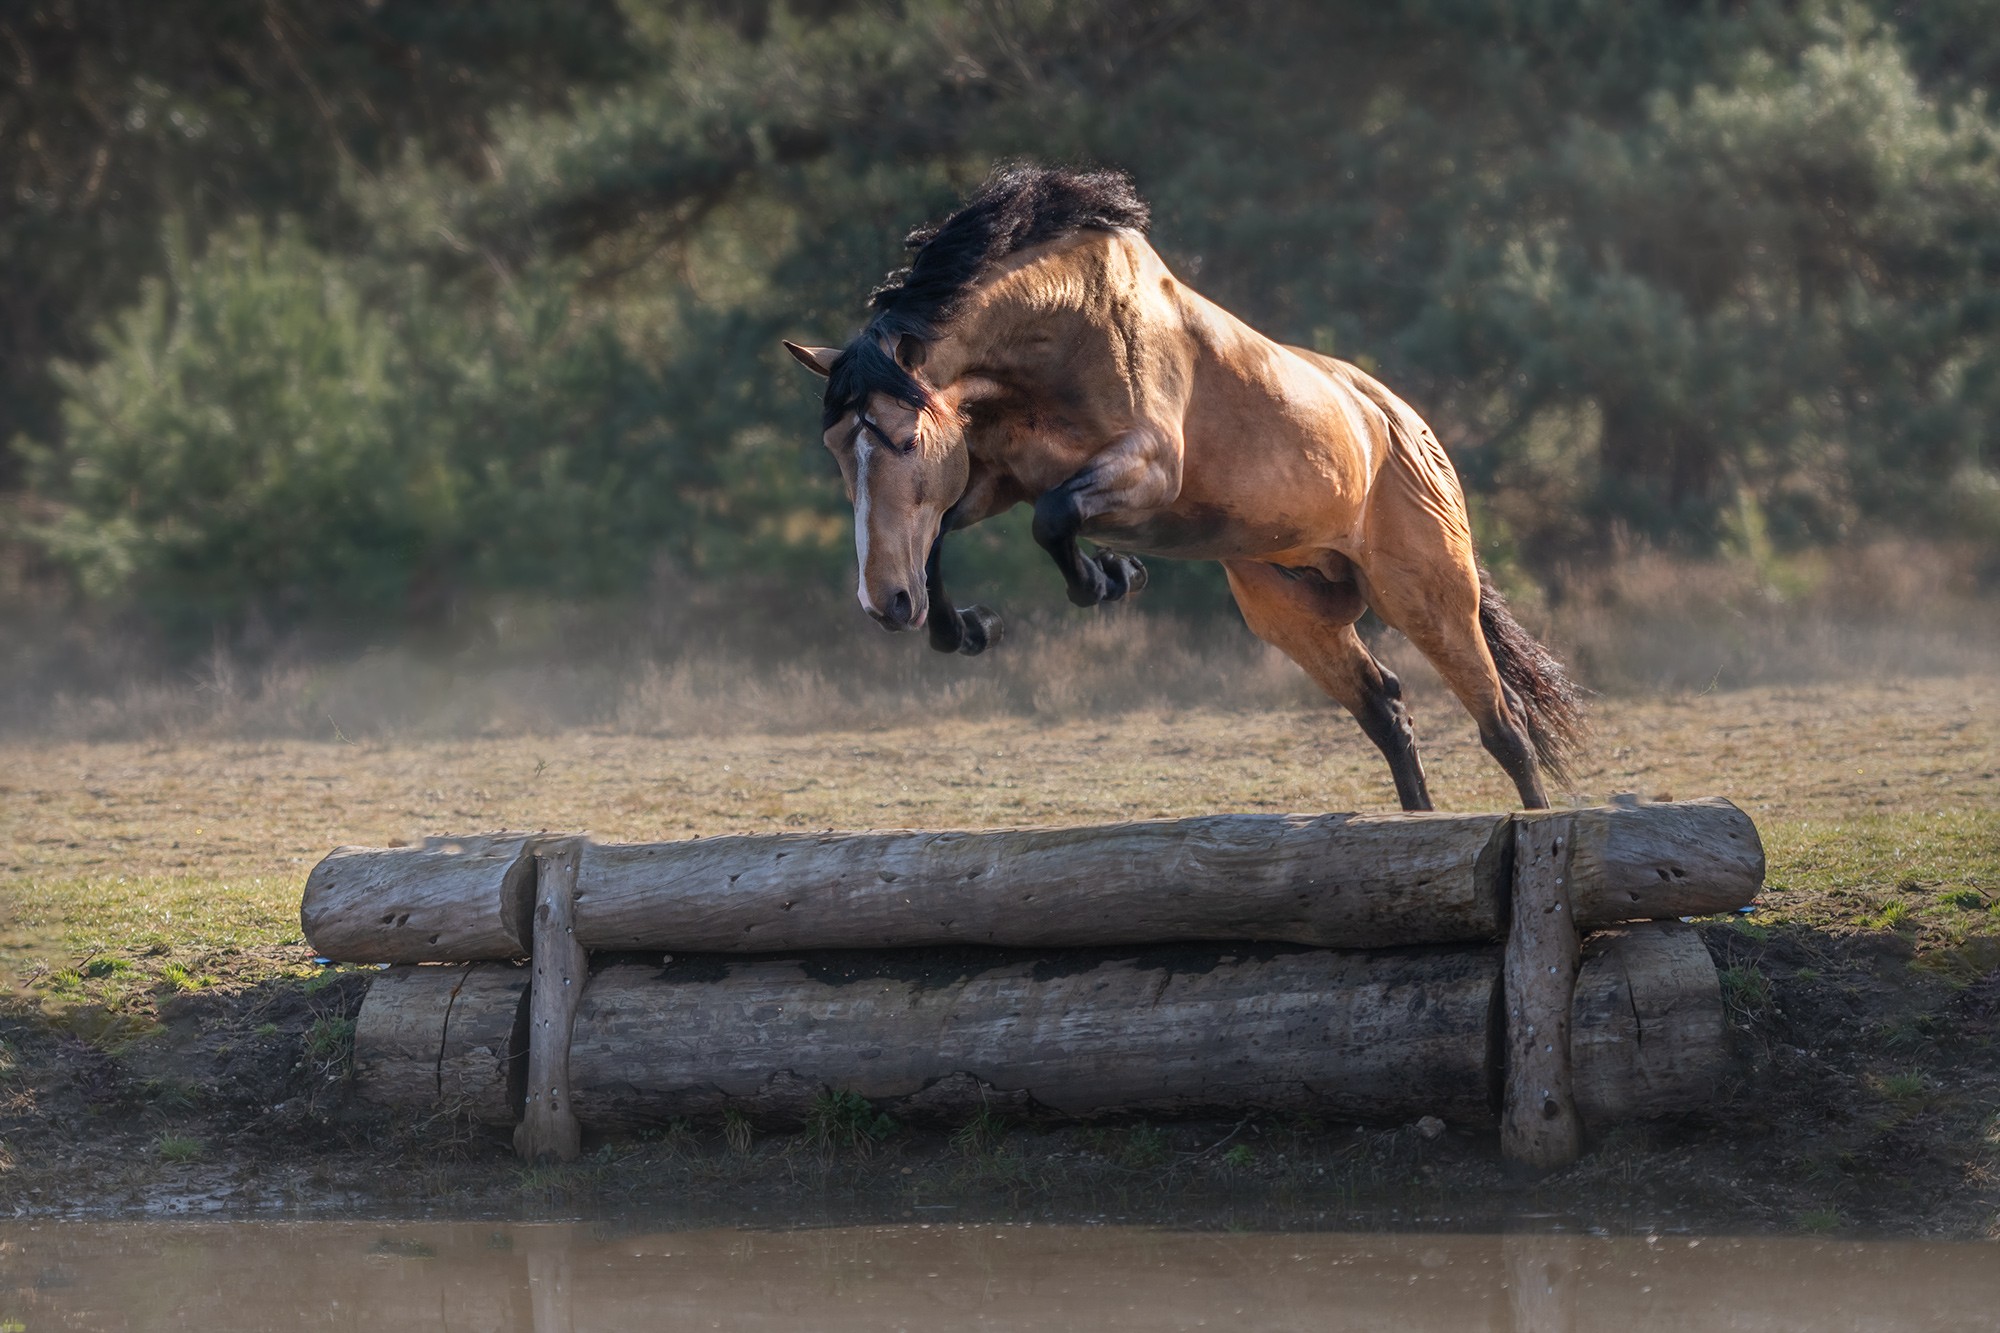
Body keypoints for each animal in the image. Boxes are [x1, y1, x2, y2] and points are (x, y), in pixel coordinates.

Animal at [783, 165, 1584, 810]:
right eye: (836, 449)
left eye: (905, 439)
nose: (885, 605)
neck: (1064, 329)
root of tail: (1405, 425)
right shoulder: (997, 479)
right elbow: (946, 533)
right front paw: (972, 626)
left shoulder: (1148, 470)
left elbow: (1052, 518)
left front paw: (1113, 577)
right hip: (1295, 612)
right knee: (1388, 715)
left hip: (1427, 596)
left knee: (1504, 727)